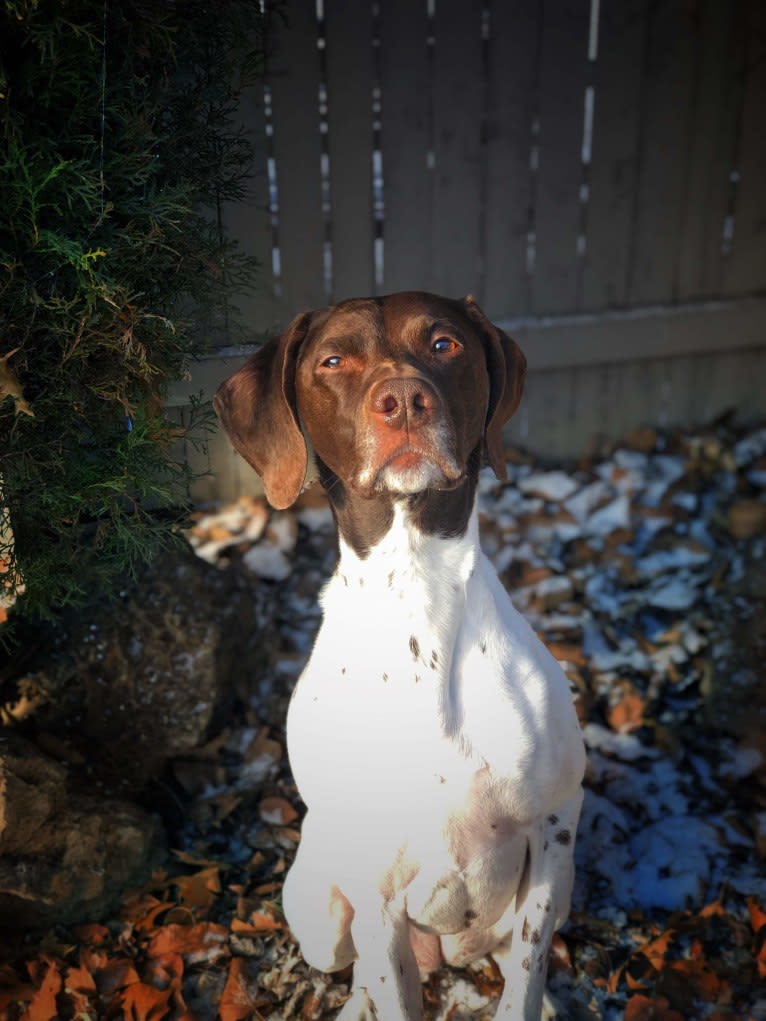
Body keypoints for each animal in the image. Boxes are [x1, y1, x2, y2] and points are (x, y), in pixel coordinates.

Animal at [216, 292, 588, 1016]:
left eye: (444, 344)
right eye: (333, 361)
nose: (405, 401)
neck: (417, 592)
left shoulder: (555, 825)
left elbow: (526, 977)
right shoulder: (375, 883)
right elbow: (391, 982)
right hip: (316, 905)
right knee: (363, 963)